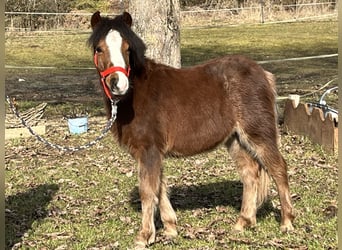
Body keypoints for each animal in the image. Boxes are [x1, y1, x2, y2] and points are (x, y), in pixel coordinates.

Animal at [88, 11, 294, 248]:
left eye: (128, 48)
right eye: (99, 48)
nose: (118, 84)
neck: (133, 96)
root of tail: (263, 73)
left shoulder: (149, 150)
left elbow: (148, 191)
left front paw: (144, 236)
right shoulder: (153, 152)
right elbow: (159, 187)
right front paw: (170, 228)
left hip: (258, 134)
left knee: (278, 168)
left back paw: (287, 222)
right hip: (235, 139)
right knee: (250, 172)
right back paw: (243, 222)